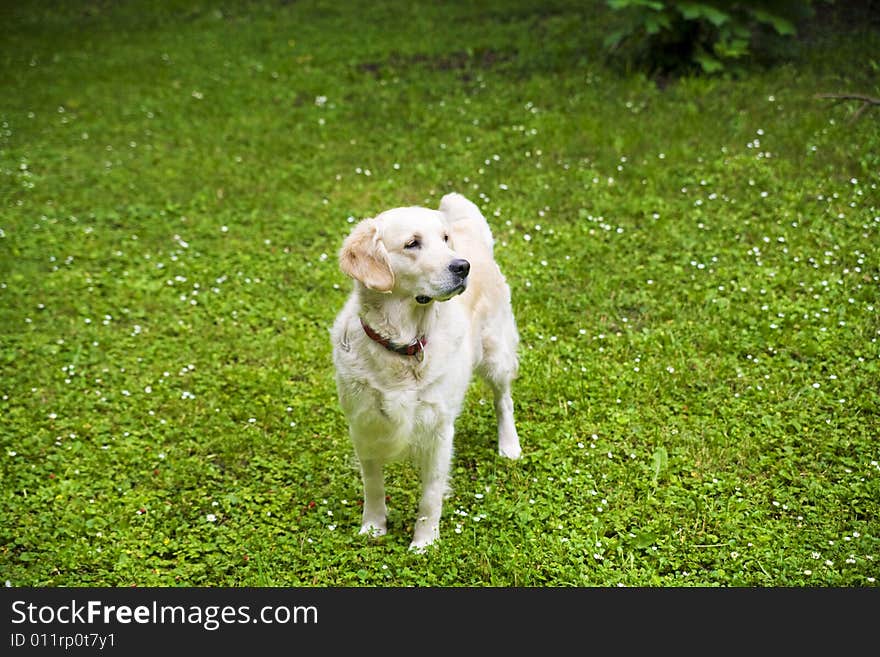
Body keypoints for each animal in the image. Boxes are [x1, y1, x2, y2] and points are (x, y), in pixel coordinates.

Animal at [330, 192, 524, 552]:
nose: (462, 266)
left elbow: (430, 495)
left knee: (503, 401)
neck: (404, 344)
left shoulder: (438, 428)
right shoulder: (363, 425)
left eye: (444, 239)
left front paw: (424, 544)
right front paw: (373, 527)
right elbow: (373, 485)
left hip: (496, 354)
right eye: (412, 243)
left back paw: (509, 446)